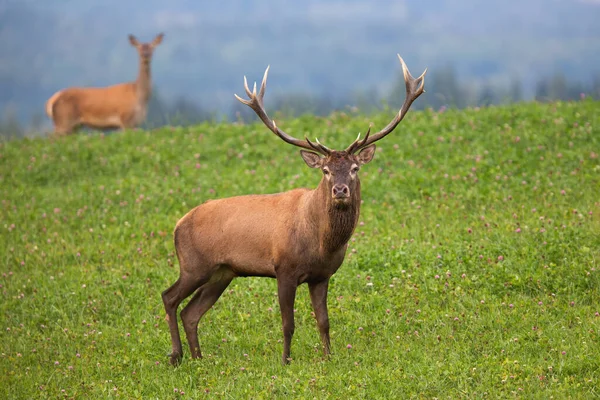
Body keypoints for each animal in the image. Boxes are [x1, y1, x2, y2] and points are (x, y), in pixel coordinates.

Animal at [163, 55, 426, 366]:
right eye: (325, 170)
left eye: (354, 168)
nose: (340, 191)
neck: (320, 243)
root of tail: (178, 224)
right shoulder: (284, 269)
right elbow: (288, 323)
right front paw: (285, 360)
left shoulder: (322, 276)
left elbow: (324, 321)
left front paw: (328, 357)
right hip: (194, 264)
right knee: (169, 297)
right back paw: (176, 355)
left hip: (222, 272)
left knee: (190, 312)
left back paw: (199, 358)